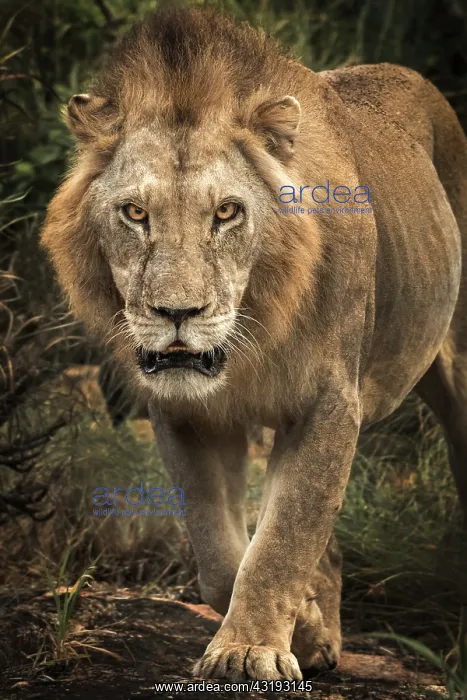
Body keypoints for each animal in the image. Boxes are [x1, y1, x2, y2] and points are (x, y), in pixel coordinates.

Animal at [42, 8, 467, 681]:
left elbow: (283, 540)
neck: (251, 341)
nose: (177, 313)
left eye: (226, 212)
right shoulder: (186, 414)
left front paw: (249, 652)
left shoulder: (329, 405)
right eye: (134, 212)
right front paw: (308, 634)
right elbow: (222, 557)